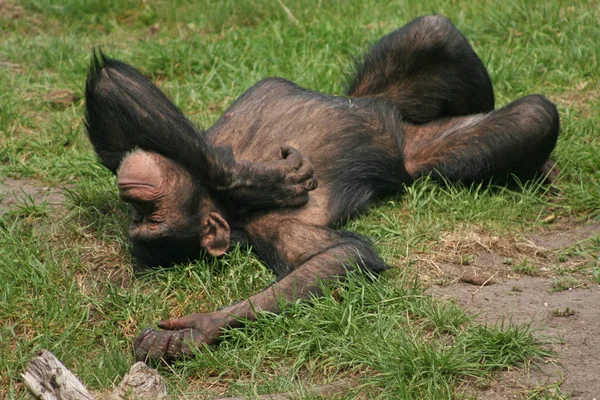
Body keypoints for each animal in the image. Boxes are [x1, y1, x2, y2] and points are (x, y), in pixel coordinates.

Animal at [83, 15, 556, 360]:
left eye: (147, 214)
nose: (133, 201)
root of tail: (394, 120)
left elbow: (111, 94)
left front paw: (245, 175)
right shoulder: (274, 228)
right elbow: (340, 256)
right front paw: (204, 326)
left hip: (378, 92)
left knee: (433, 31)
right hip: (418, 152)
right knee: (534, 115)